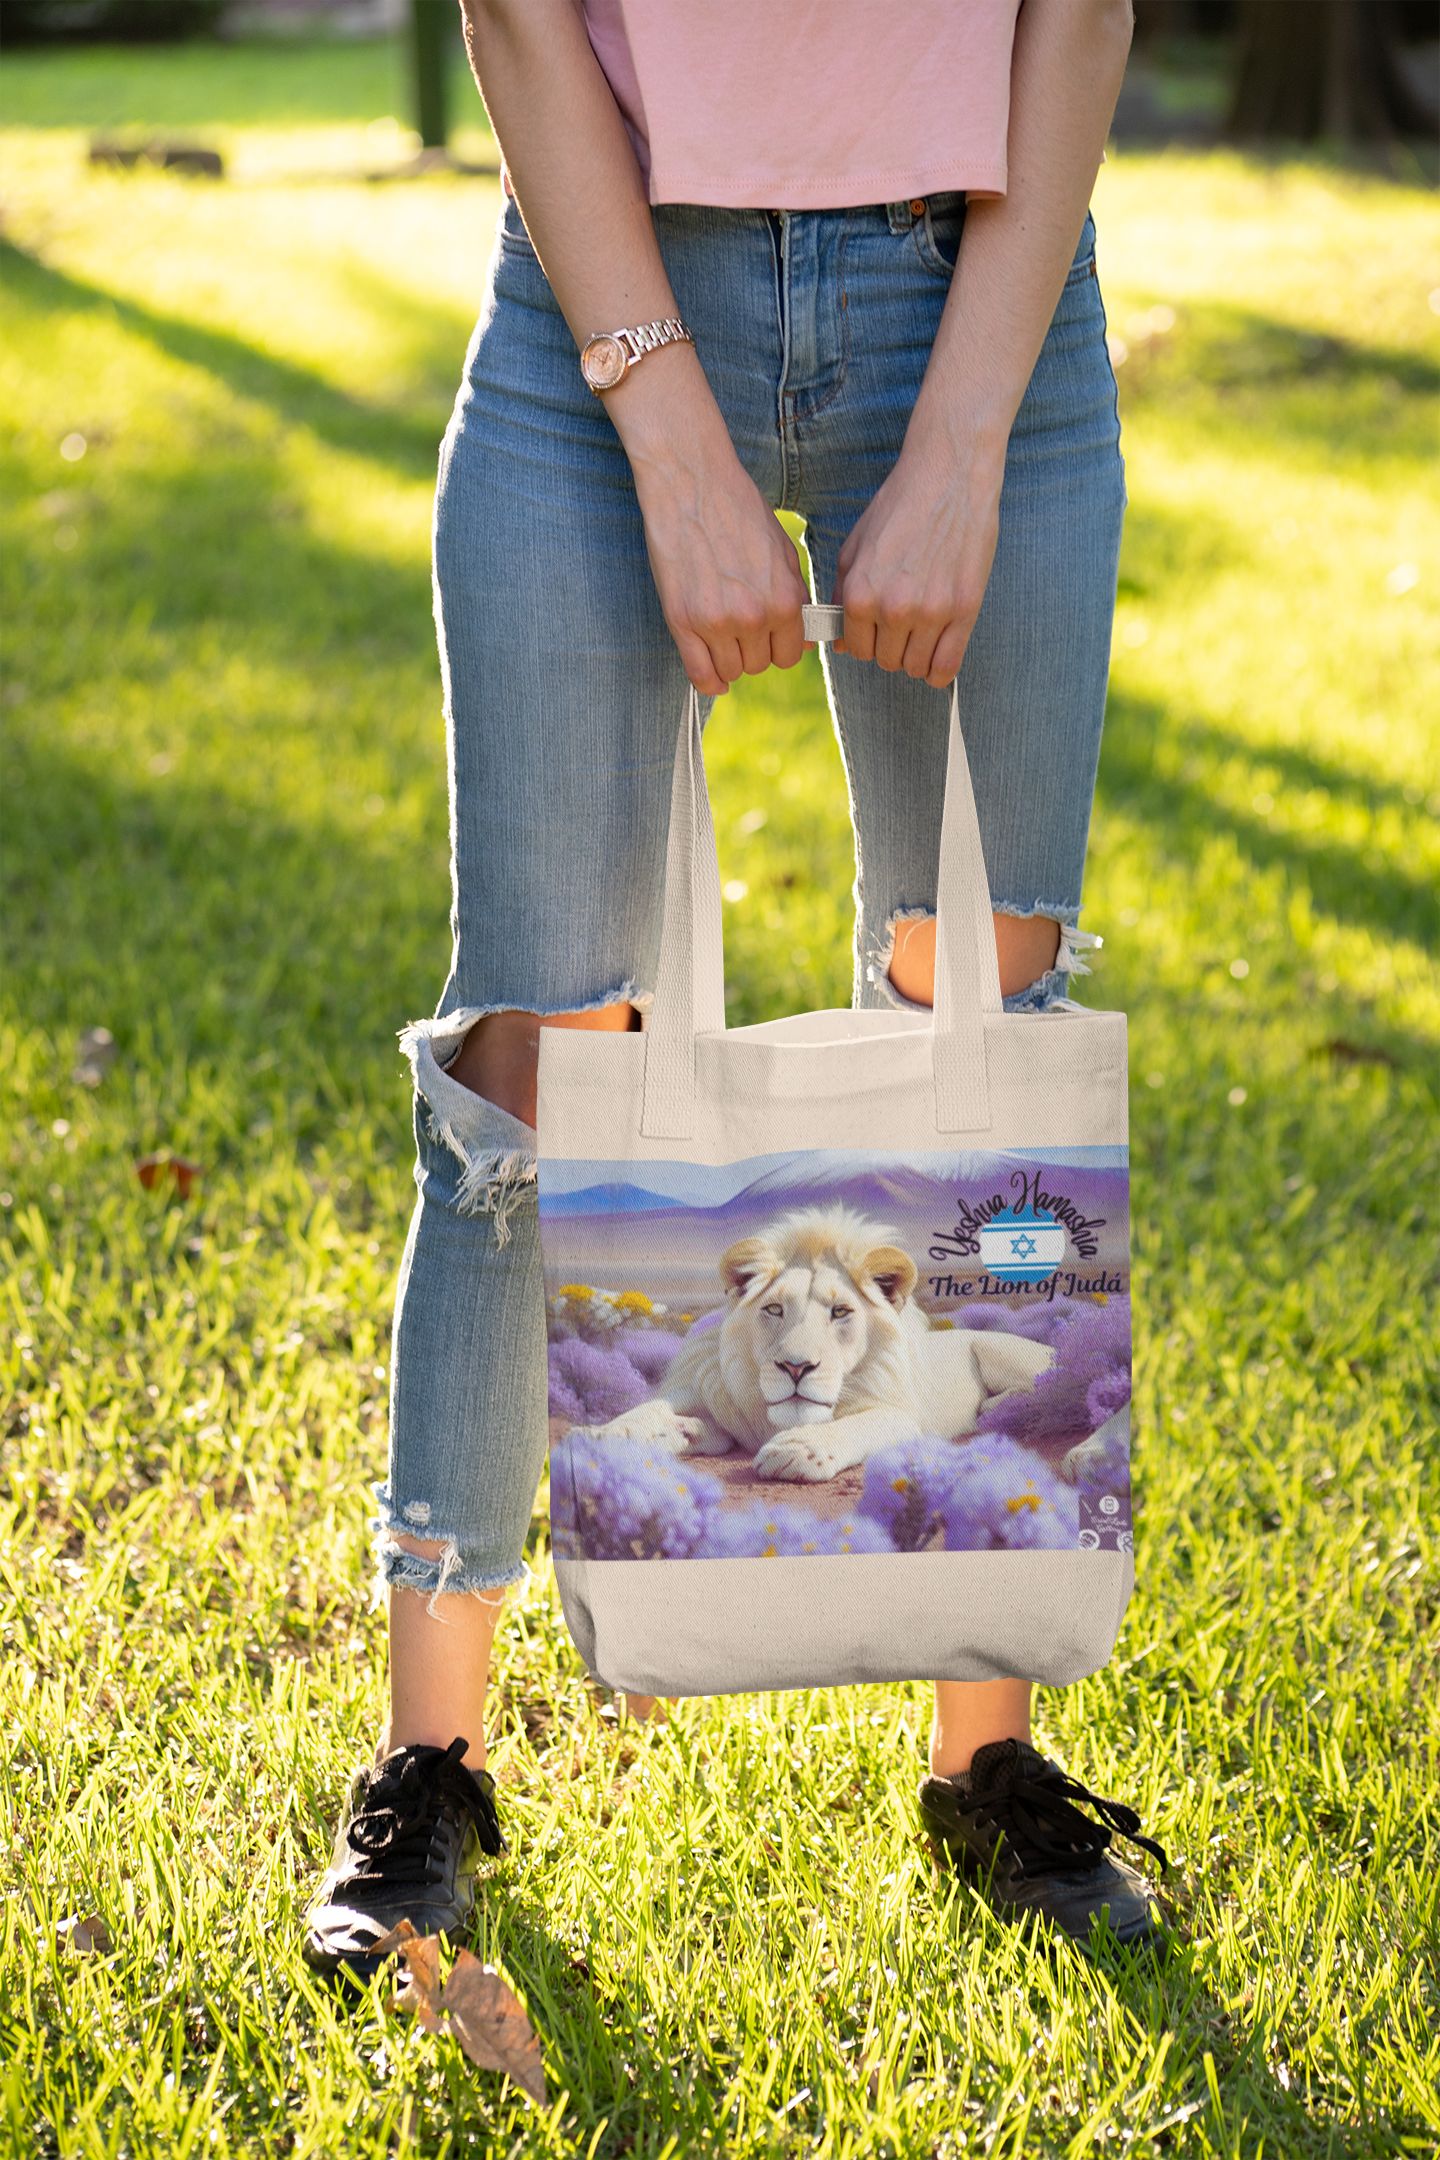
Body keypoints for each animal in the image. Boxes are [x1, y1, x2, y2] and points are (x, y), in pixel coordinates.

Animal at [584, 1204, 1054, 1483]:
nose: (796, 1367)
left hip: (999, 1351)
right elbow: (653, 1409)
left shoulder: (903, 1416)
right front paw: (613, 1432)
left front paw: (799, 1450)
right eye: (774, 1309)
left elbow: (857, 1424)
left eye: (841, 1312)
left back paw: (995, 1407)